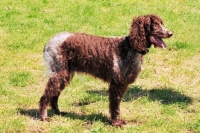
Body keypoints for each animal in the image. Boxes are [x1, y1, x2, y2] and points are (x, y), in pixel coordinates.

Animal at [39, 14, 173, 126]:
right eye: (154, 25)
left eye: (161, 23)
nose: (171, 33)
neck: (130, 47)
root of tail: (50, 41)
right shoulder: (117, 84)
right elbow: (115, 105)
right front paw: (116, 122)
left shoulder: (121, 84)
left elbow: (116, 105)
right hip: (59, 73)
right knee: (46, 96)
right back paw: (43, 117)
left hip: (64, 75)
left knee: (54, 96)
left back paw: (58, 112)